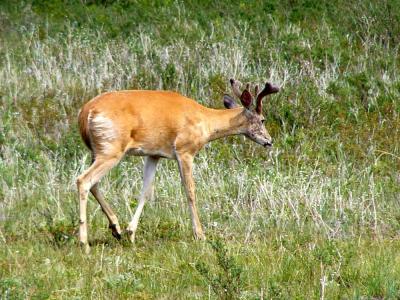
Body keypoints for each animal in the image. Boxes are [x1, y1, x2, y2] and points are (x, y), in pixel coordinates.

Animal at [76, 78, 280, 253]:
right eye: (263, 119)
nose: (269, 141)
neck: (205, 121)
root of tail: (86, 113)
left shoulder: (154, 154)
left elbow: (146, 191)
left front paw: (131, 233)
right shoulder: (184, 151)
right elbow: (190, 191)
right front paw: (200, 234)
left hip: (97, 151)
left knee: (94, 183)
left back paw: (115, 228)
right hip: (111, 149)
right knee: (83, 180)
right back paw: (84, 243)